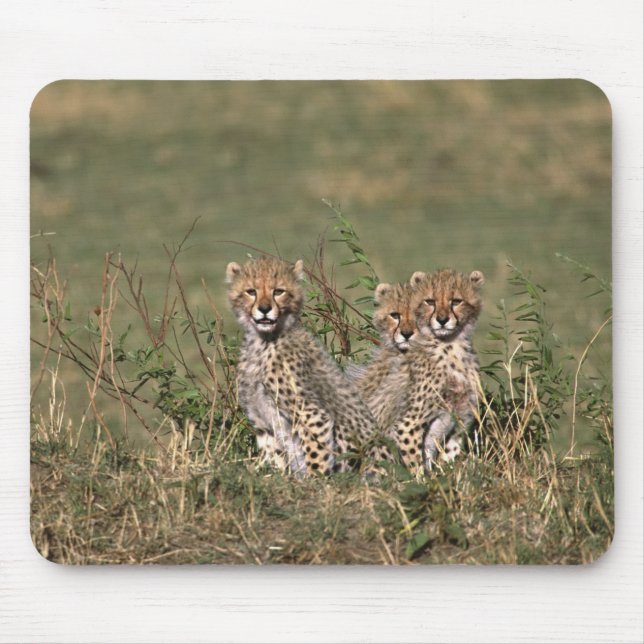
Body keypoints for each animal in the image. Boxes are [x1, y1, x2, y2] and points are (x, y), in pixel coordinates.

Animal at [226, 256, 379, 476]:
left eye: (278, 291)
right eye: (251, 291)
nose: (264, 309)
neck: (263, 341)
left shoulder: (312, 414)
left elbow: (316, 455)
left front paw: (317, 480)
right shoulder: (262, 421)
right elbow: (273, 456)